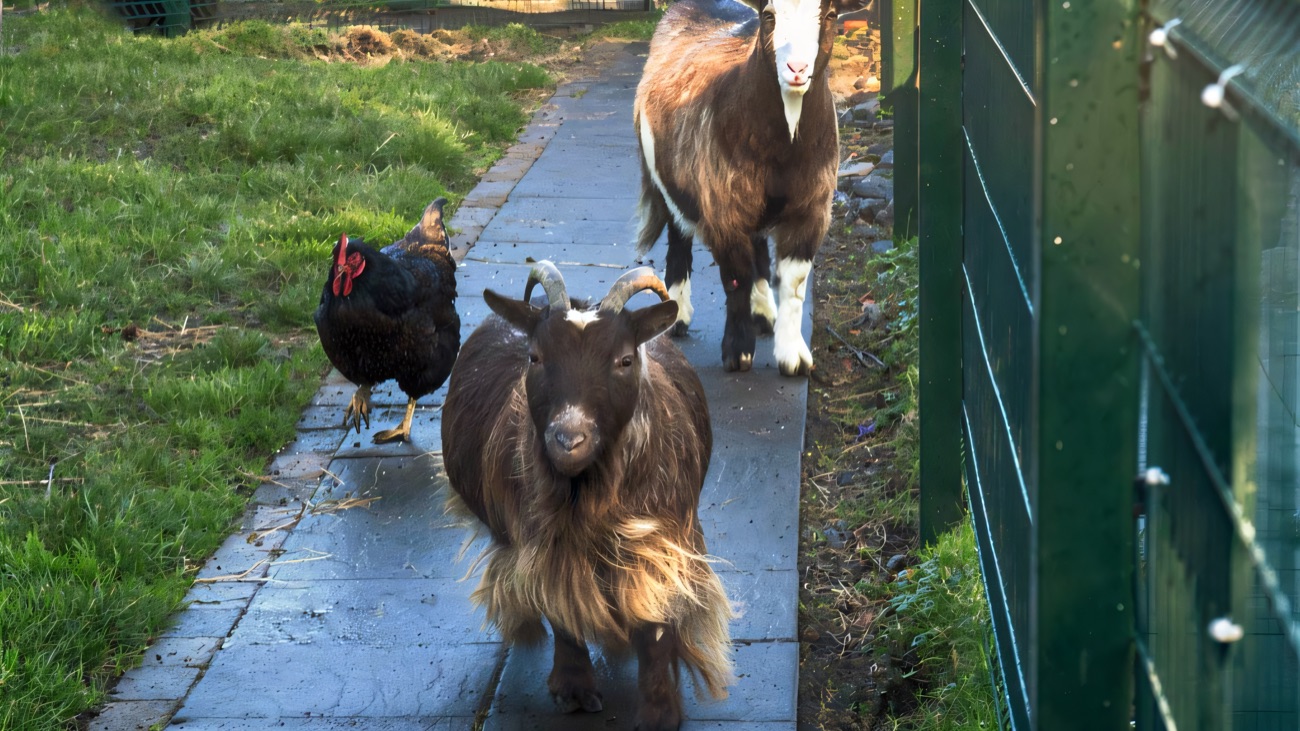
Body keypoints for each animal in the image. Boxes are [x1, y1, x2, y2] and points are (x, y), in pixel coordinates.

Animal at [441, 261, 733, 731]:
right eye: (535, 356)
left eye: (625, 359)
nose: (568, 439)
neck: (588, 494)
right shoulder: (545, 548)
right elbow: (561, 608)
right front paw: (574, 691)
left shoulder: (660, 545)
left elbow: (655, 623)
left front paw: (659, 712)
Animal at [635, 0, 859, 375]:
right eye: (769, 16)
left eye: (829, 16)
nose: (796, 68)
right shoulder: (722, 205)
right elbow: (735, 277)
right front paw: (738, 352)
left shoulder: (812, 207)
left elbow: (794, 282)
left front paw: (793, 356)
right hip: (670, 181)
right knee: (679, 237)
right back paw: (679, 314)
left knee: (758, 247)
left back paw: (763, 314)